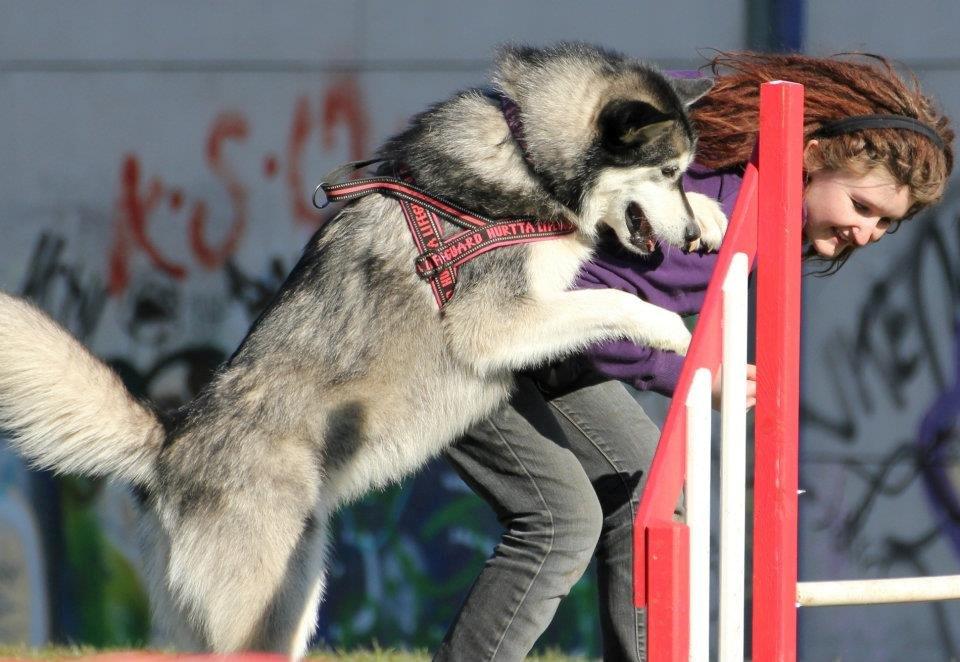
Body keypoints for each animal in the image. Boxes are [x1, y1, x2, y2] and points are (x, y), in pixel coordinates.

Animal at [0, 44, 720, 660]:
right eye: (664, 172)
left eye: (684, 174)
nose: (685, 234)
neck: (524, 154)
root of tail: (169, 441)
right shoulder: (495, 322)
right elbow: (619, 301)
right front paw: (678, 335)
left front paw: (712, 219)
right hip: (275, 608)